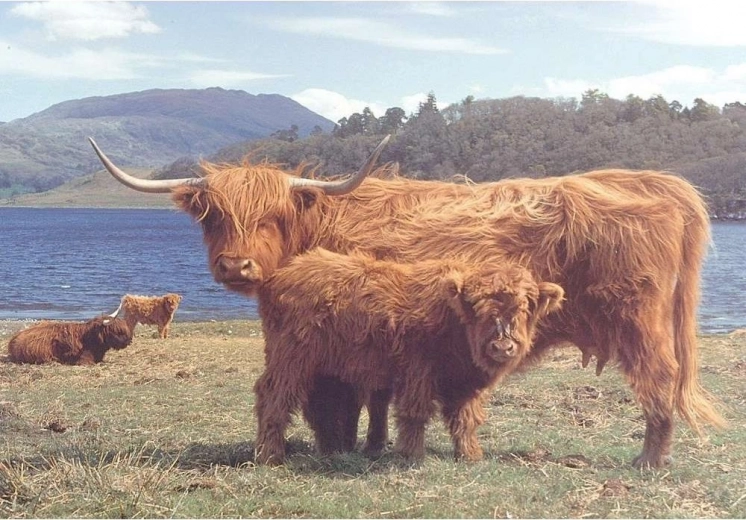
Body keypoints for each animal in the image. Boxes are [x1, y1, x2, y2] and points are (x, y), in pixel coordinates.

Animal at [252, 247, 564, 464]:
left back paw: (330, 450)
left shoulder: (464, 383)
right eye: (475, 305)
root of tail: (284, 273)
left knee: (322, 406)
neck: (455, 325)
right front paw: (412, 454)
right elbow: (415, 412)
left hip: (325, 369)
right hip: (290, 359)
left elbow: (466, 419)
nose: (502, 347)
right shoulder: (418, 371)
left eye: (523, 307)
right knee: (274, 397)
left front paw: (470, 455)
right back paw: (271, 455)